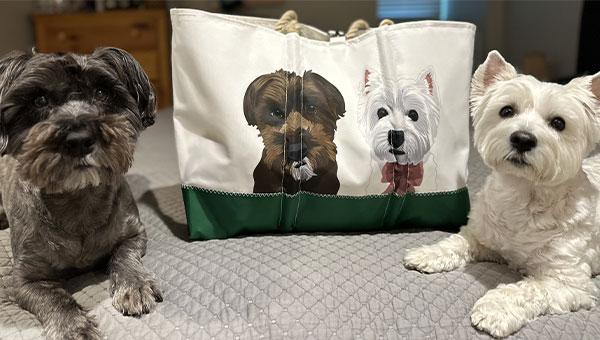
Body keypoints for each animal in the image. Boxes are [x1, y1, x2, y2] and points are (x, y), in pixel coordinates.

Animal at [0, 47, 162, 340]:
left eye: (101, 93)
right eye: (39, 100)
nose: (79, 139)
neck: (78, 199)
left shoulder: (133, 235)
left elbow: (123, 257)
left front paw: (134, 284)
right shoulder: (25, 279)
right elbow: (53, 298)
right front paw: (72, 326)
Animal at [404, 49, 600, 338]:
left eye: (559, 123)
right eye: (507, 111)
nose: (522, 139)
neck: (524, 196)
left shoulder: (570, 283)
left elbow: (528, 289)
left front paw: (495, 310)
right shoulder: (480, 235)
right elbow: (455, 242)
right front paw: (427, 253)